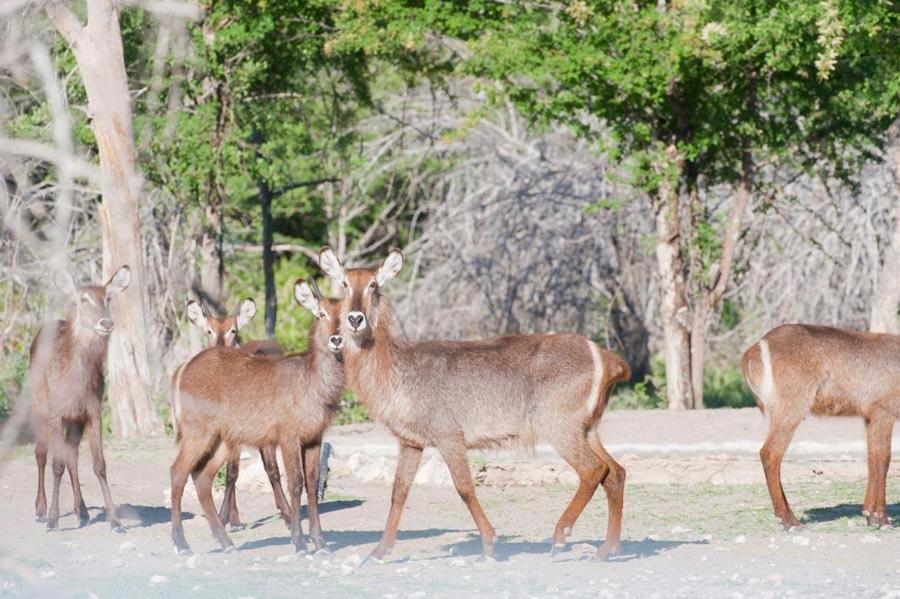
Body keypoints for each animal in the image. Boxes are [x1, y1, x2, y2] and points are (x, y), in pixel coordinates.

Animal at [29, 264, 131, 532]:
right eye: (83, 299)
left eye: (108, 298)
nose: (106, 322)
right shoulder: (56, 413)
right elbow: (56, 465)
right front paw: (53, 519)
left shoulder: (92, 412)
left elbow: (99, 465)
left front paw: (115, 521)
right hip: (38, 407)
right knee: (41, 453)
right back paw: (40, 509)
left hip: (75, 421)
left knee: (72, 456)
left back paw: (82, 512)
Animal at [185, 298, 290, 528]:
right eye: (208, 330)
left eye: (233, 330)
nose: (219, 348)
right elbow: (231, 472)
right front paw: (226, 517)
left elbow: (270, 470)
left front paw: (288, 513)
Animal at [320, 247, 628, 564]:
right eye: (344, 283)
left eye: (373, 284)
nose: (355, 318)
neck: (395, 370)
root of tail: (607, 358)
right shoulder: (411, 442)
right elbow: (399, 492)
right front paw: (378, 552)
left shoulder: (449, 436)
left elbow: (464, 488)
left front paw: (490, 544)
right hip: (588, 429)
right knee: (615, 472)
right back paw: (607, 549)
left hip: (560, 427)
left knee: (593, 471)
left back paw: (560, 537)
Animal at [744, 324, 900, 528]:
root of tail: (756, 347)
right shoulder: (883, 412)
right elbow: (883, 461)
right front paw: (882, 519)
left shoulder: (870, 417)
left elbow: (872, 461)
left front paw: (869, 515)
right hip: (791, 409)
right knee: (770, 453)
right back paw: (788, 520)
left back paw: (791, 516)